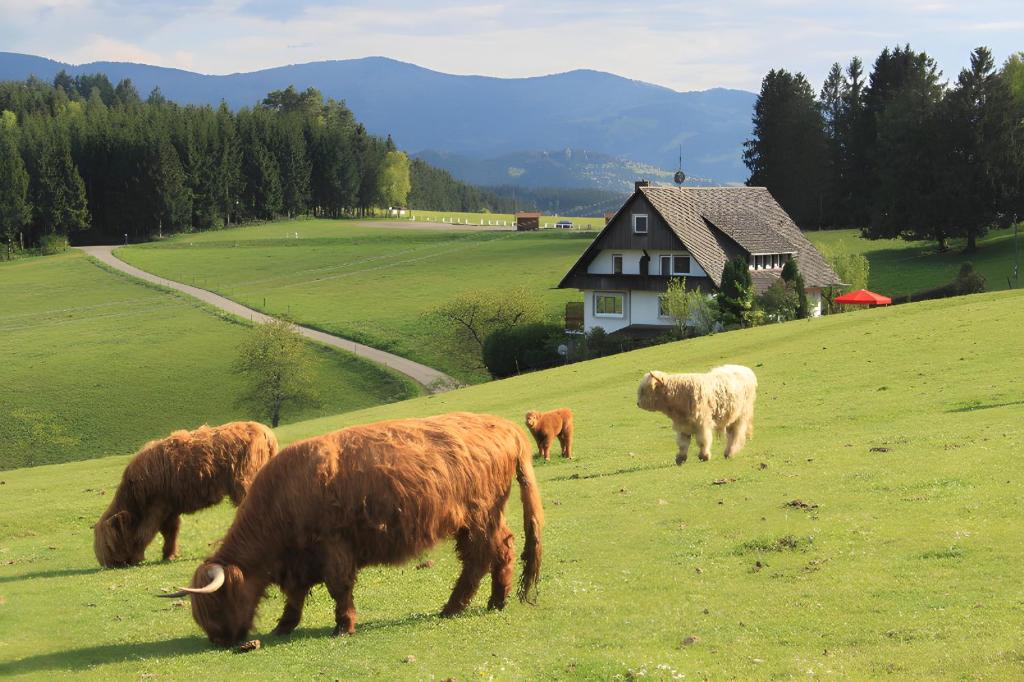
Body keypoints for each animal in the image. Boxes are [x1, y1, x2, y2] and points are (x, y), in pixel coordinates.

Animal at [94, 421, 278, 568]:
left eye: (109, 545)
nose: (108, 563)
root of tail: (266, 432)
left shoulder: (156, 507)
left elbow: (144, 533)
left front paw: (136, 558)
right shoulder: (169, 509)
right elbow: (170, 532)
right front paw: (168, 555)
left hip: (245, 481)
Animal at [159, 412, 544, 647]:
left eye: (218, 602)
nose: (220, 640)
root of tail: (504, 426)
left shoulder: (333, 546)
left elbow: (339, 588)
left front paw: (344, 626)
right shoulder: (299, 560)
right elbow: (295, 595)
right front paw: (284, 625)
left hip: (477, 516)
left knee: (480, 557)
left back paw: (455, 606)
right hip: (485, 517)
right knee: (502, 549)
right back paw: (495, 601)